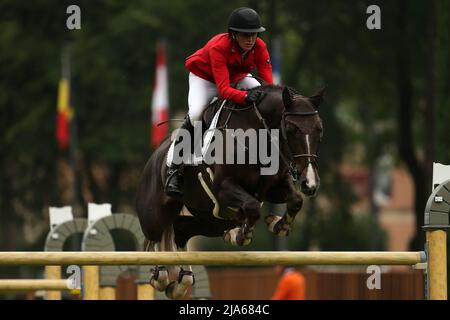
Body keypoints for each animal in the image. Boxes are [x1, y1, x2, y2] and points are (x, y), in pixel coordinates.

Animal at [134, 84, 324, 298]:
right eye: (291, 129)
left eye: (320, 129)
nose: (310, 182)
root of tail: (153, 157)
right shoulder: (224, 188)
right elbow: (252, 207)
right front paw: (244, 234)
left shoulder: (273, 188)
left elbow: (295, 200)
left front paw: (278, 224)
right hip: (155, 212)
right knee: (155, 237)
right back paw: (161, 276)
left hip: (210, 221)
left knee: (181, 230)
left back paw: (183, 280)